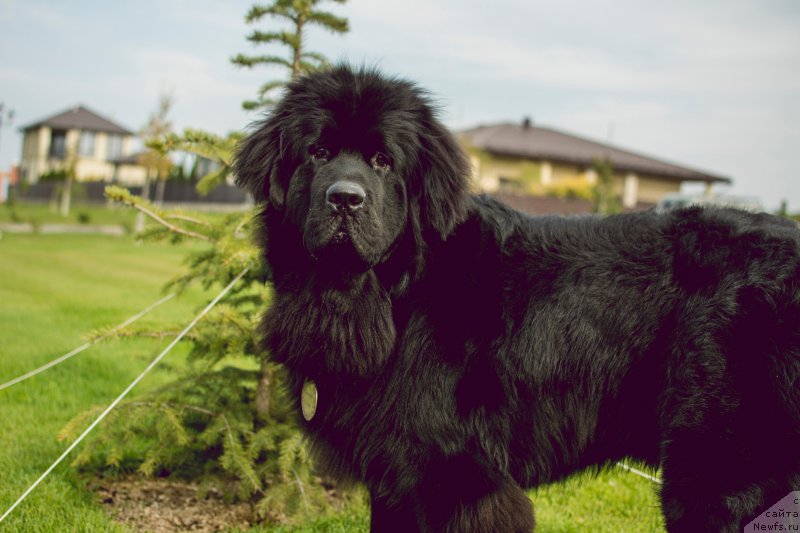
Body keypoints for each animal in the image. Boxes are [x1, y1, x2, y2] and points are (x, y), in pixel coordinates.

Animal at [233, 64, 800, 528]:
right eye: (318, 152)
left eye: (382, 161)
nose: (345, 199)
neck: (391, 295)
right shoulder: (395, 475)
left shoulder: (458, 476)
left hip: (720, 467)